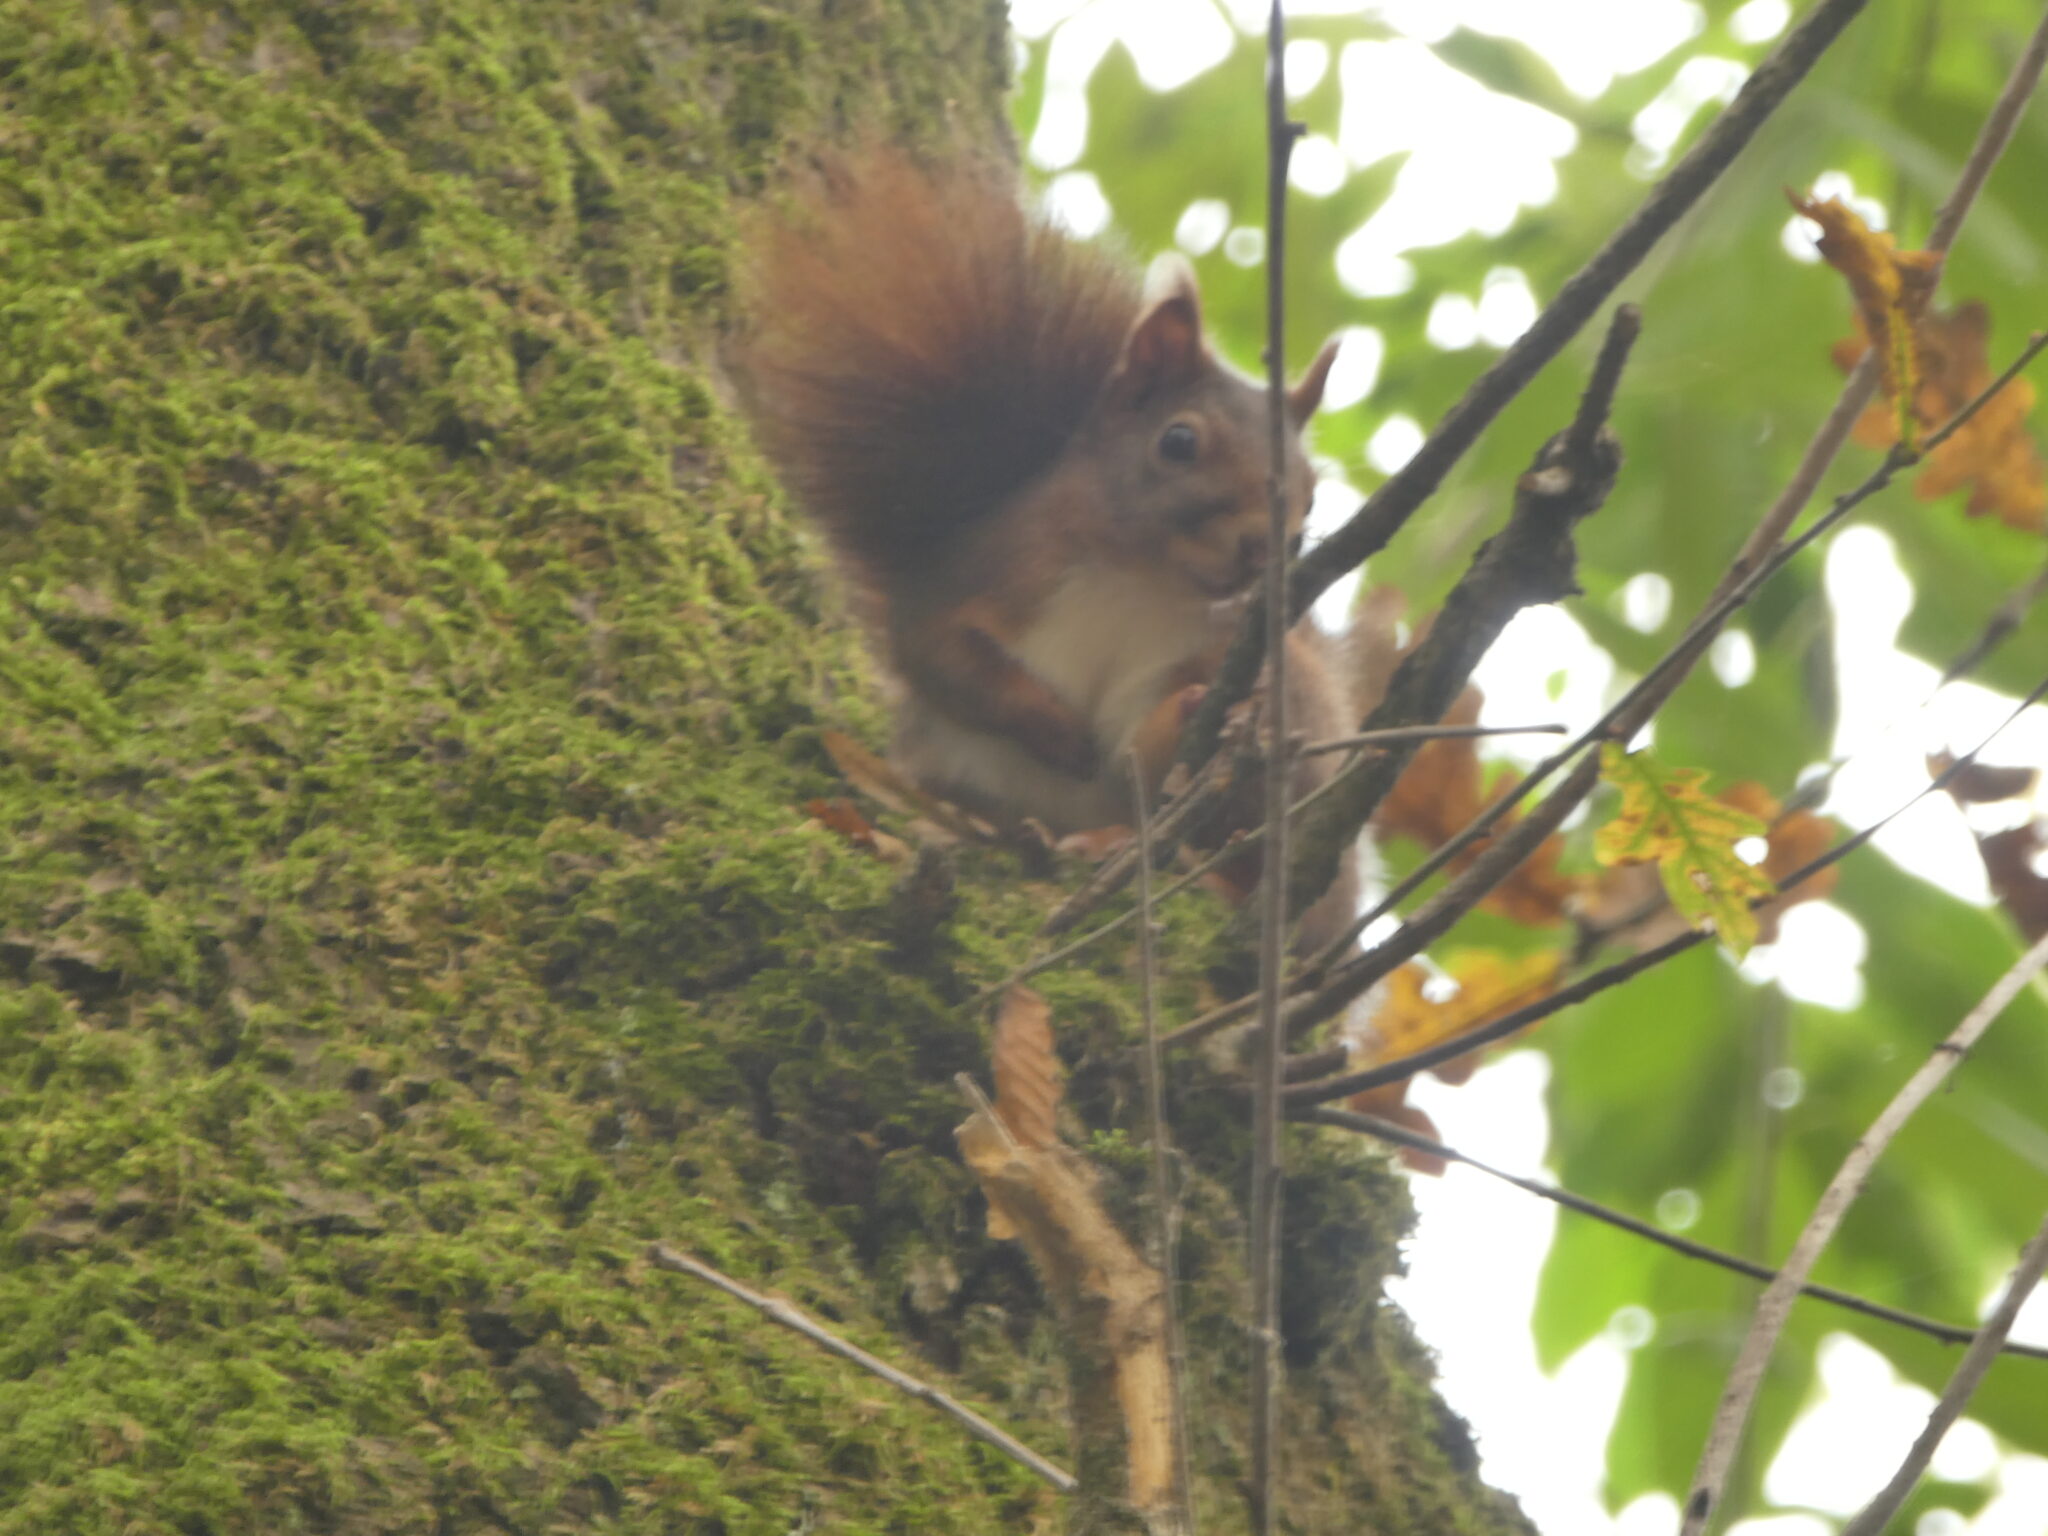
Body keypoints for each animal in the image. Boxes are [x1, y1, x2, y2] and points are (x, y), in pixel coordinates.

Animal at [737, 156, 1359, 950]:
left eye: (1310, 495)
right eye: (1178, 442)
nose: (1263, 548)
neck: (1138, 580)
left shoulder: (1234, 642)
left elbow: (1169, 740)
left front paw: (1201, 711)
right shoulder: (989, 570)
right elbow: (943, 654)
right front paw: (1056, 729)